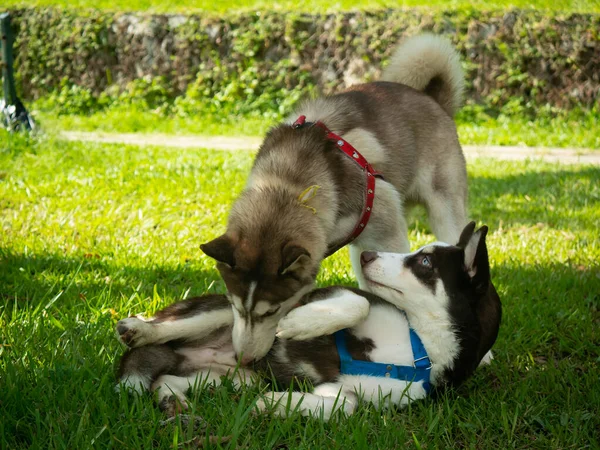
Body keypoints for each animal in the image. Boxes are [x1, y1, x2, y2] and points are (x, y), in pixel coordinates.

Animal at [115, 223, 500, 420]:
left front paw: (275, 404)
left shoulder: (350, 391)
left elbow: (344, 406)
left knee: (164, 379)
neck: (418, 341)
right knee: (162, 332)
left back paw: (171, 399)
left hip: (231, 377)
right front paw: (301, 322)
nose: (366, 254)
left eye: (424, 263)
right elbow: (359, 301)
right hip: (220, 315)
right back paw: (139, 329)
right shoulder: (337, 294)